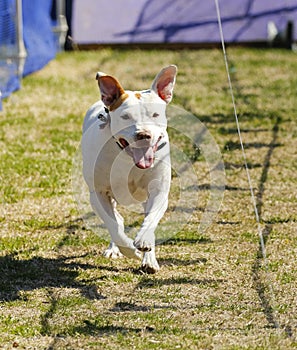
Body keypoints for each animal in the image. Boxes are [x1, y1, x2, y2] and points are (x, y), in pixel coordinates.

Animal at [81, 65, 176, 274]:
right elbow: (114, 226)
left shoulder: (158, 191)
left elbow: (151, 219)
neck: (128, 159)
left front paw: (145, 243)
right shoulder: (99, 194)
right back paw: (115, 248)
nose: (143, 134)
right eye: (125, 117)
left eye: (155, 115)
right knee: (117, 221)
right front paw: (130, 251)